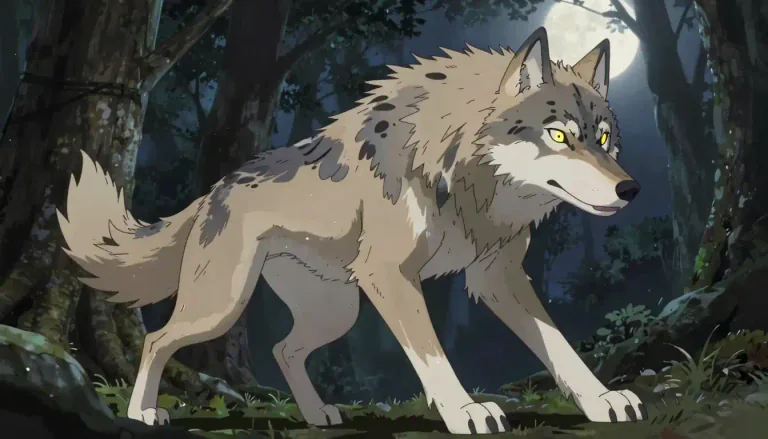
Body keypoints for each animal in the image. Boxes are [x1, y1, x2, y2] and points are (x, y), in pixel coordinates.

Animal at [57, 27, 646, 434]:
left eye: (604, 138)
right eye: (559, 136)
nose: (630, 190)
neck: (460, 176)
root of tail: (214, 190)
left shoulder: (497, 275)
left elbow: (560, 347)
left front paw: (603, 400)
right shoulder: (391, 275)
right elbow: (432, 353)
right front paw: (464, 410)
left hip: (336, 311)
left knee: (283, 350)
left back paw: (317, 413)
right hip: (223, 307)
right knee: (157, 338)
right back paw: (142, 413)